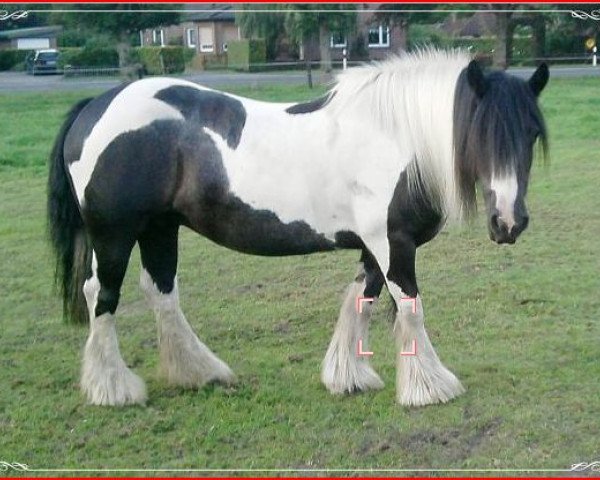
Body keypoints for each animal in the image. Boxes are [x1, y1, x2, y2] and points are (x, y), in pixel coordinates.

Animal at [47, 50, 548, 406]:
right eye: (481, 133)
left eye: (531, 134)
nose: (509, 222)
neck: (393, 137)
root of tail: (96, 106)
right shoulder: (393, 244)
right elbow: (409, 308)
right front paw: (429, 388)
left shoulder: (374, 246)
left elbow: (360, 300)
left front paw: (348, 377)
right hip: (115, 234)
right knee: (101, 295)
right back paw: (112, 388)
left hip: (159, 228)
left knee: (161, 292)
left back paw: (199, 373)